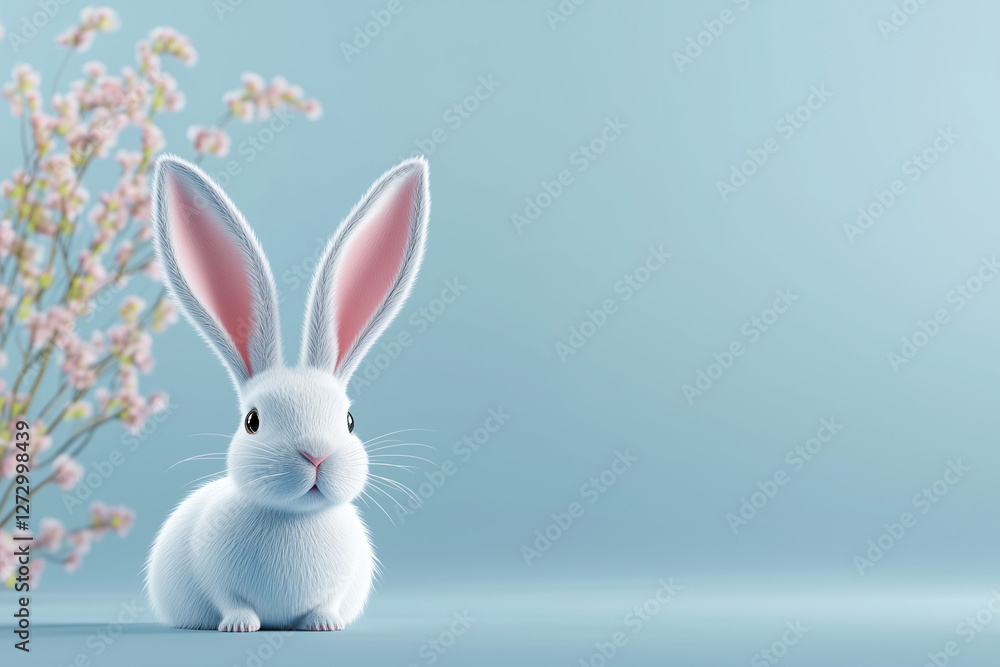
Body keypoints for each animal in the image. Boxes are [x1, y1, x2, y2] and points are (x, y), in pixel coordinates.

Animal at [144, 153, 430, 632]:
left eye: (349, 421)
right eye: (252, 421)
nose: (315, 455)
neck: (295, 519)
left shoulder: (342, 583)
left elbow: (327, 603)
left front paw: (325, 624)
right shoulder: (213, 577)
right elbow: (230, 600)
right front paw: (239, 625)